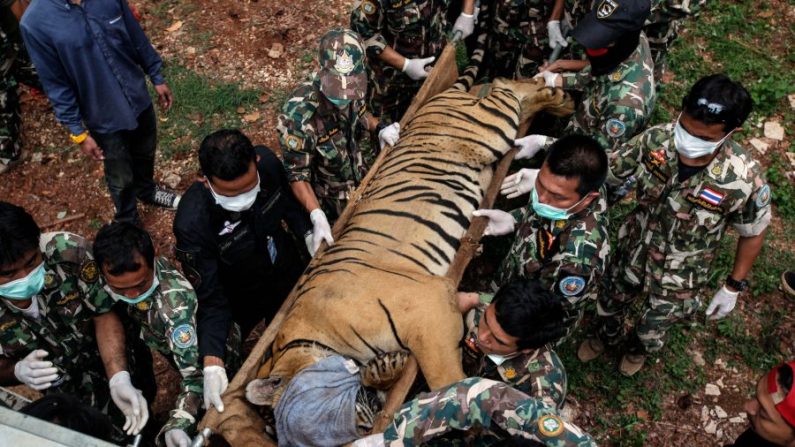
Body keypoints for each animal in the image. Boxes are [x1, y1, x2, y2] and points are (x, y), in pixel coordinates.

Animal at [244, 78, 572, 428]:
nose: (359, 425)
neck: (310, 335)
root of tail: (445, 96)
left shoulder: (428, 307)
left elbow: (445, 379)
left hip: (489, 128)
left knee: (506, 87)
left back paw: (556, 96)